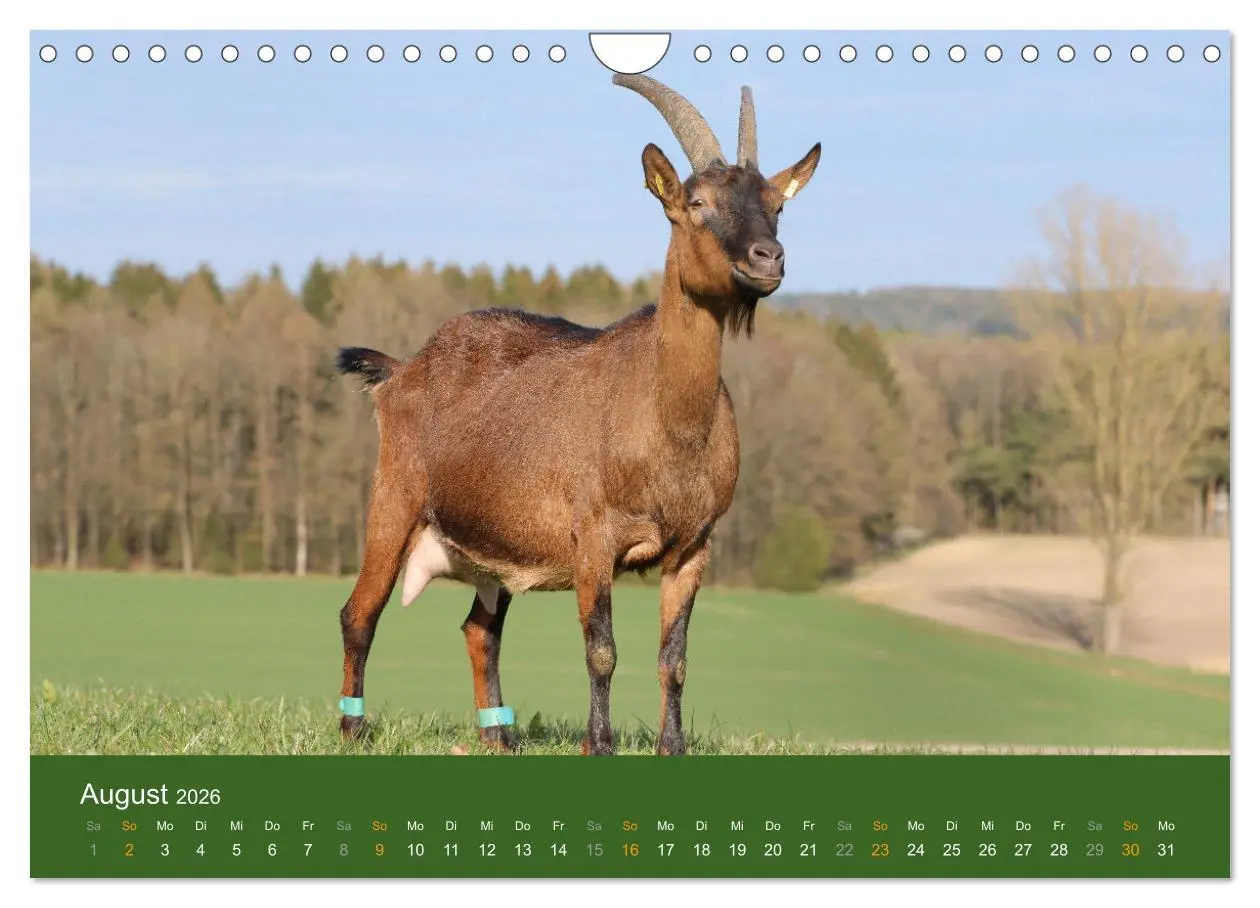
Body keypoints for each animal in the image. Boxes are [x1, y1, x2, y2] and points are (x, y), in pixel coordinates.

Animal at [334, 74, 821, 755]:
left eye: (777, 204)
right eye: (696, 202)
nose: (767, 258)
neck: (666, 418)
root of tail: (402, 368)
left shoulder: (694, 547)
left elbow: (675, 658)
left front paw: (672, 747)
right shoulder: (593, 539)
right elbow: (602, 650)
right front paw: (600, 744)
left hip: (492, 548)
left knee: (480, 630)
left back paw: (500, 736)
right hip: (394, 498)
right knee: (360, 611)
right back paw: (353, 726)